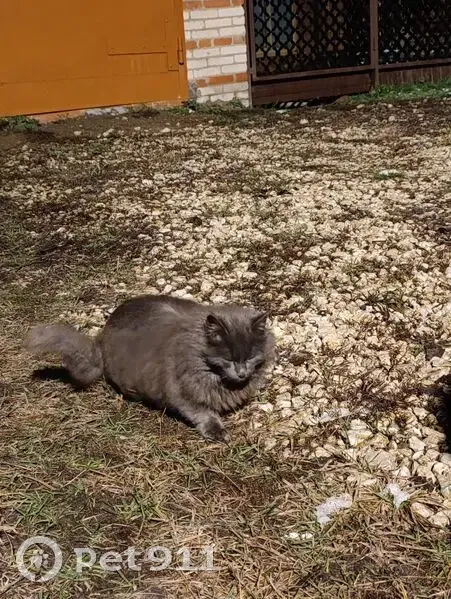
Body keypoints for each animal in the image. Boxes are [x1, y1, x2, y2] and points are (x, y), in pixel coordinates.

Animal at [25, 294, 275, 442]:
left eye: (250, 357)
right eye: (229, 358)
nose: (242, 373)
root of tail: (100, 339)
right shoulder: (180, 390)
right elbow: (203, 412)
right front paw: (217, 431)